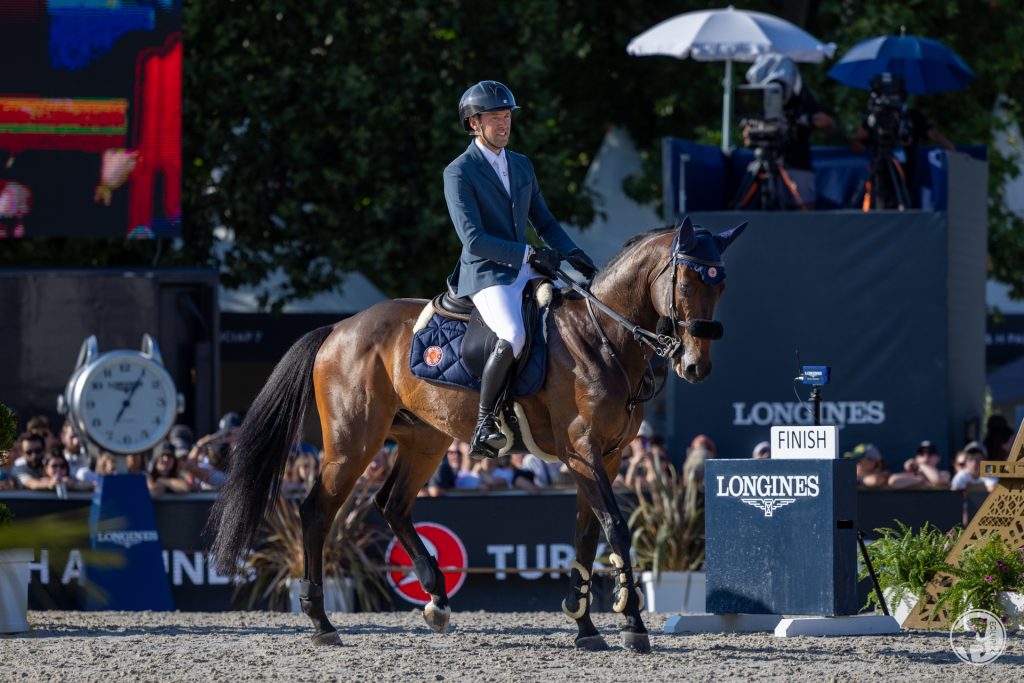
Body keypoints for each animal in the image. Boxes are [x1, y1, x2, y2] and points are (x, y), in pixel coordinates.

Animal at [207, 216, 745, 655]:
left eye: (721, 286)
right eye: (685, 281)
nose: (695, 366)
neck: (600, 338)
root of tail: (339, 328)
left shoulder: (604, 459)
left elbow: (587, 534)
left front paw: (583, 623)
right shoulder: (583, 453)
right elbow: (614, 527)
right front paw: (631, 623)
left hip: (425, 440)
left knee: (391, 504)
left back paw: (437, 600)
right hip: (353, 442)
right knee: (318, 511)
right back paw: (321, 621)